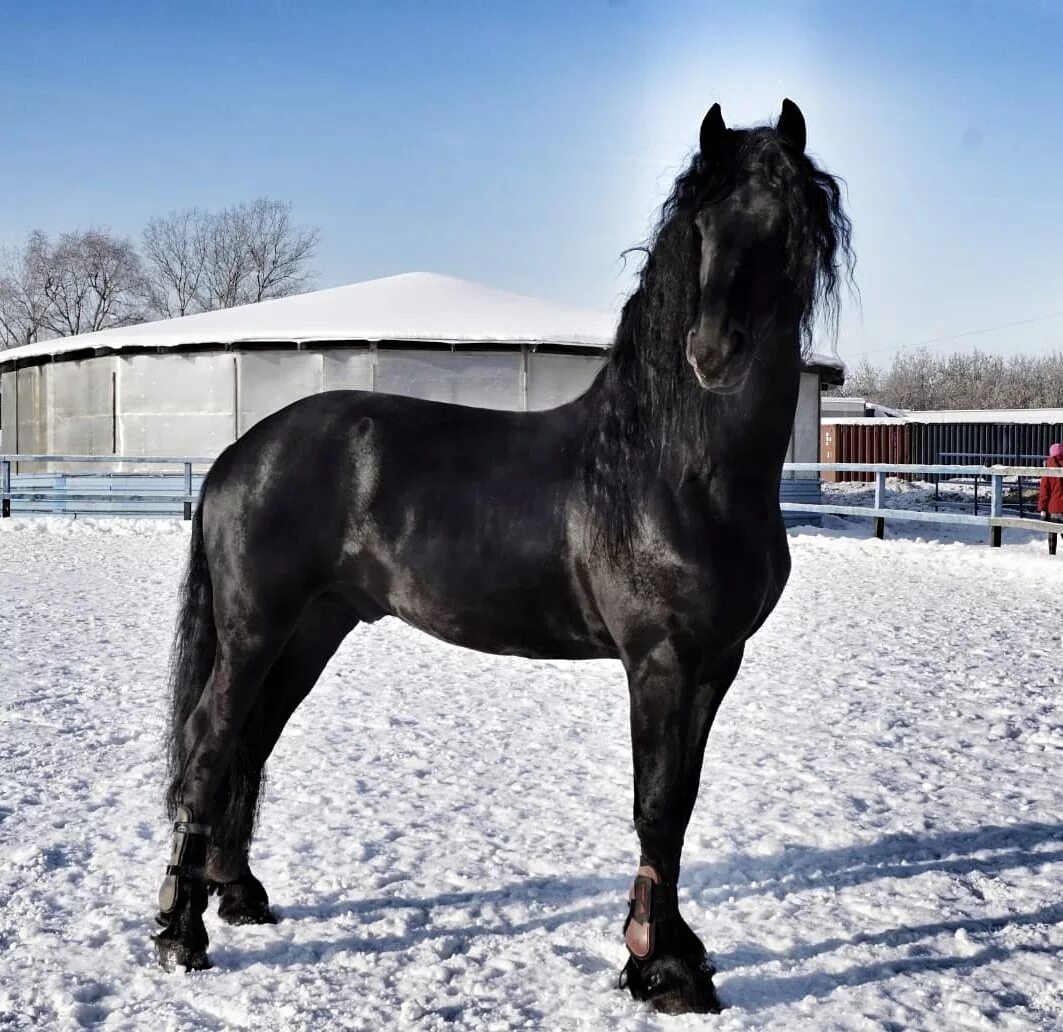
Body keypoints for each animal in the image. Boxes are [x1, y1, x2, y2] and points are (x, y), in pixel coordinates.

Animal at [155, 100, 854, 1011]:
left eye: (785, 227)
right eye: (700, 224)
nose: (710, 353)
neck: (674, 469)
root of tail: (242, 452)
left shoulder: (716, 662)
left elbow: (682, 805)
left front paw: (672, 955)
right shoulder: (660, 661)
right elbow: (657, 805)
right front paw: (659, 967)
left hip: (312, 629)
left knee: (249, 742)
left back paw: (237, 896)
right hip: (254, 629)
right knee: (209, 742)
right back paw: (181, 932)